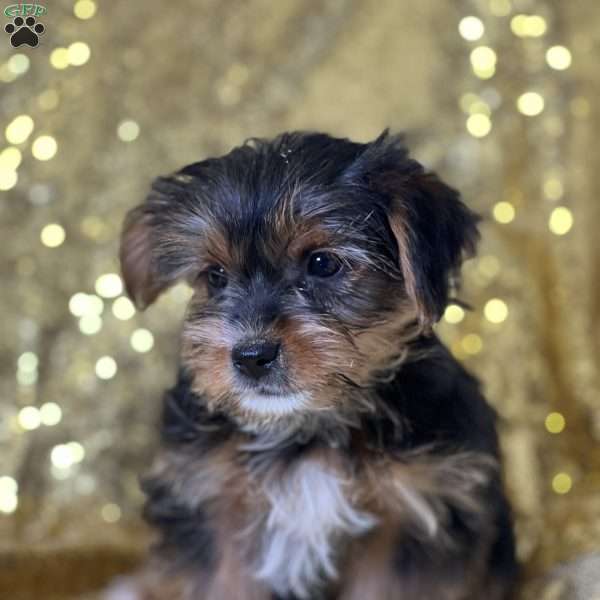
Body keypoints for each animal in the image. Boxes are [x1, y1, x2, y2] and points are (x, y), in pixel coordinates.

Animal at [115, 131, 516, 600]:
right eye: (214, 276)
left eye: (323, 264)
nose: (251, 356)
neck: (309, 429)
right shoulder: (210, 498)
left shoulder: (416, 510)